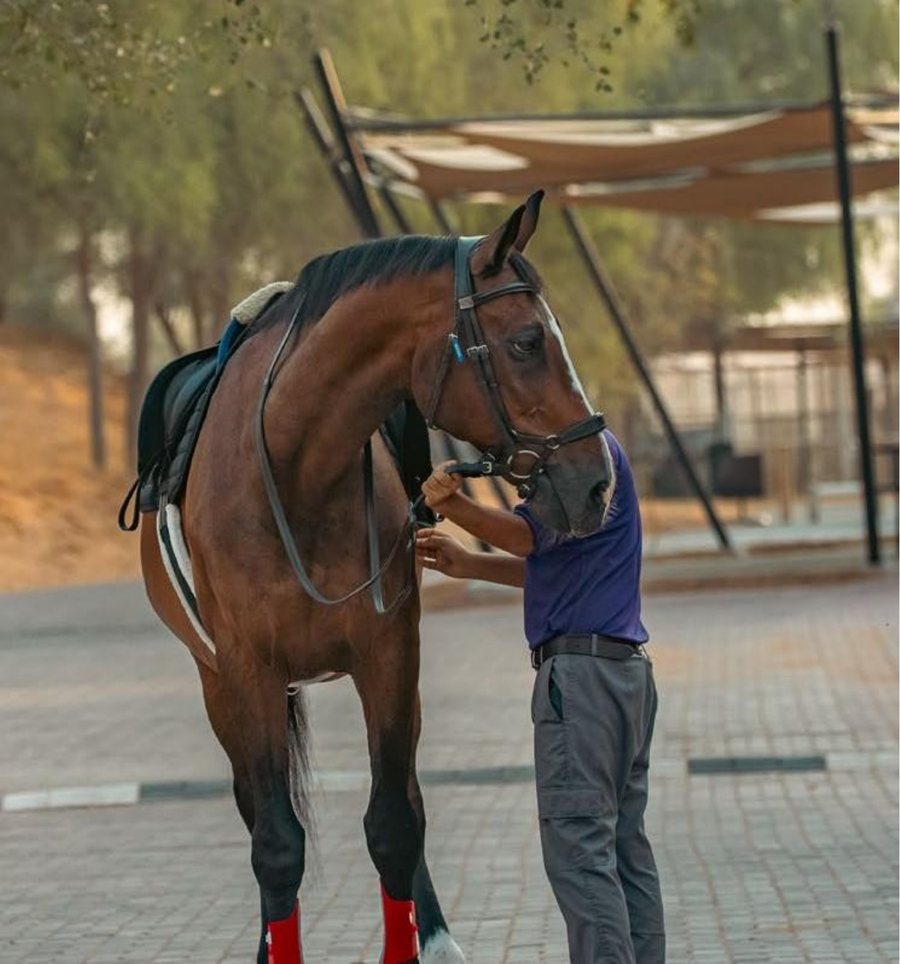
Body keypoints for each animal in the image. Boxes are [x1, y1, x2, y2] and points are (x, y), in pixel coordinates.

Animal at [133, 190, 613, 963]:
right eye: (527, 342)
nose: (595, 481)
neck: (294, 468)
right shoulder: (245, 671)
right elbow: (276, 844)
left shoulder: (389, 657)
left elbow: (394, 823)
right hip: (217, 684)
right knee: (259, 814)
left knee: (404, 804)